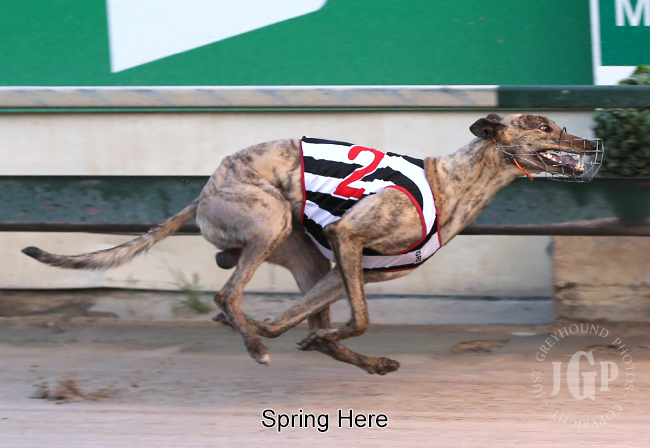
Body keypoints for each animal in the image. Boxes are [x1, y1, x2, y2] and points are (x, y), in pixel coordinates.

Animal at [22, 114, 600, 375]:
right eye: (545, 126)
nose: (591, 140)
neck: (449, 181)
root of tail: (205, 190)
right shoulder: (348, 239)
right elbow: (360, 318)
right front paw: (291, 337)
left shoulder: (353, 268)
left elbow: (304, 319)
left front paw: (311, 337)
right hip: (272, 221)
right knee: (226, 294)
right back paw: (253, 343)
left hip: (301, 254)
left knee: (260, 306)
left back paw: (325, 349)